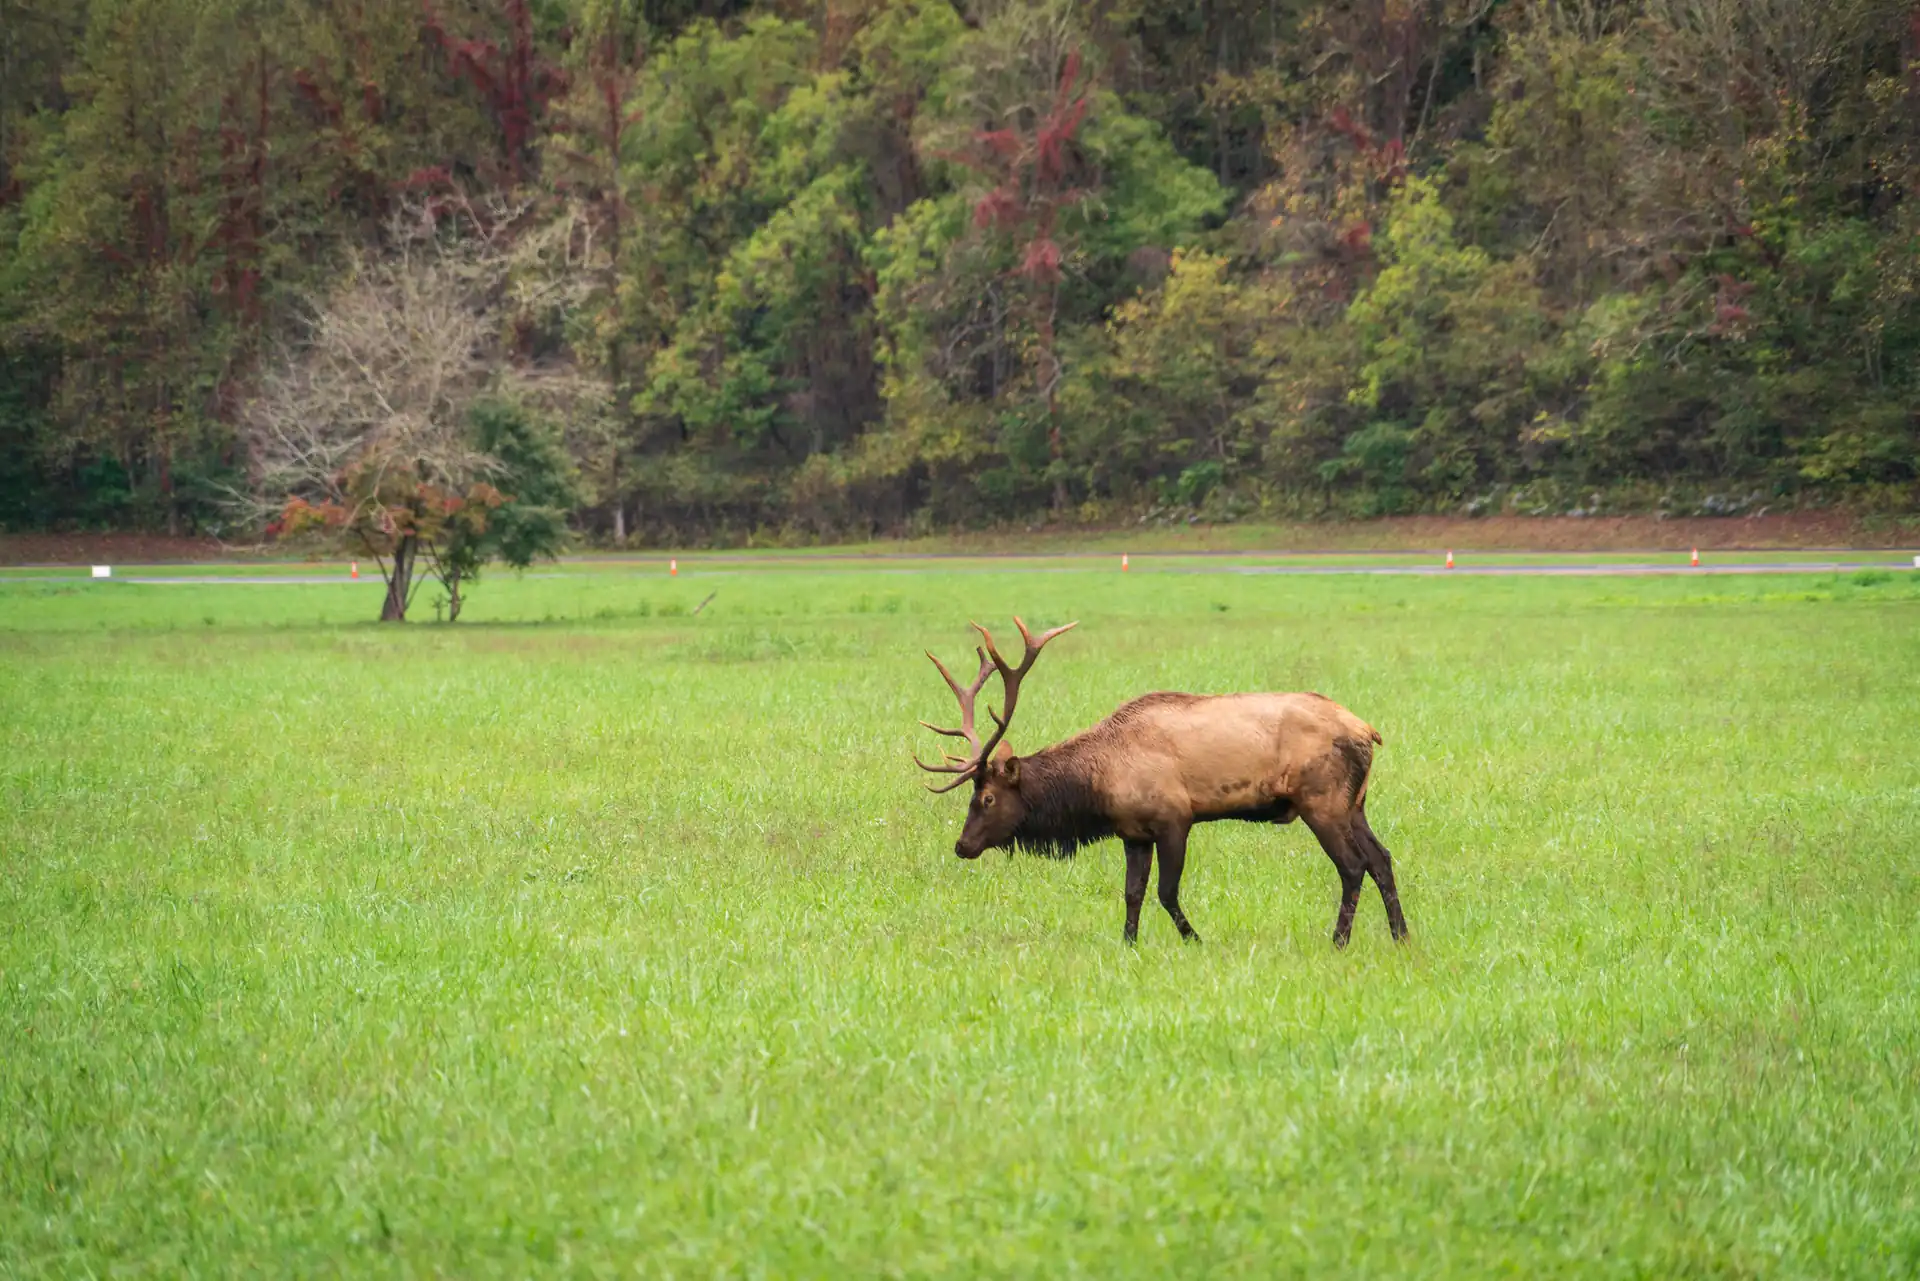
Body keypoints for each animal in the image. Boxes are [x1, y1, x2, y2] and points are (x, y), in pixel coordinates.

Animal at [914, 617, 1408, 947]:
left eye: (987, 798)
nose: (962, 845)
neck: (1097, 785)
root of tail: (1368, 731)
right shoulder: (1133, 832)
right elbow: (1132, 893)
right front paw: (1128, 945)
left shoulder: (1175, 818)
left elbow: (1166, 892)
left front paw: (1195, 940)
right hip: (1354, 803)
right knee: (1381, 858)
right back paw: (1401, 935)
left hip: (1321, 799)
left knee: (1352, 865)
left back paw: (1339, 941)